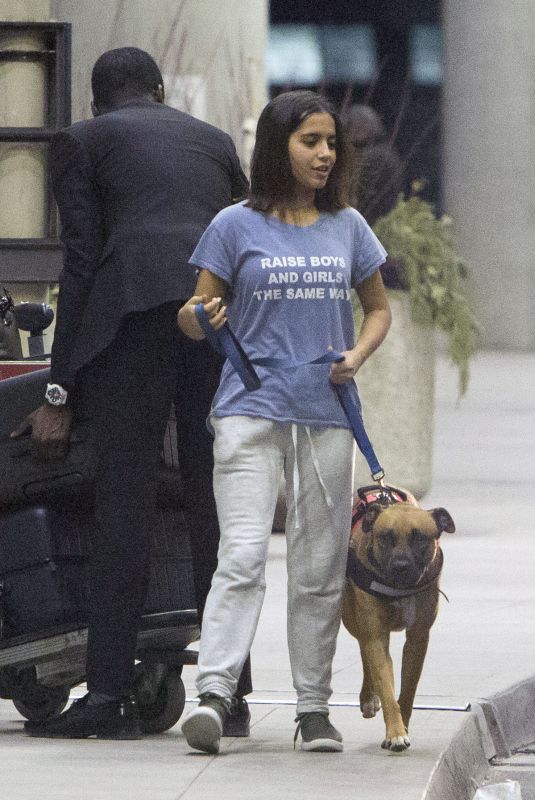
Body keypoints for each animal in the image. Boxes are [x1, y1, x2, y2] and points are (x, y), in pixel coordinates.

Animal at [344, 484, 456, 752]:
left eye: (420, 538)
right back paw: (369, 697)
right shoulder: (376, 633)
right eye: (385, 537)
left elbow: (407, 691)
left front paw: (401, 727)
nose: (401, 565)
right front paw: (395, 732)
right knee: (364, 646)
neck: (398, 588)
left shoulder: (418, 637)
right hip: (350, 617)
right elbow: (386, 686)